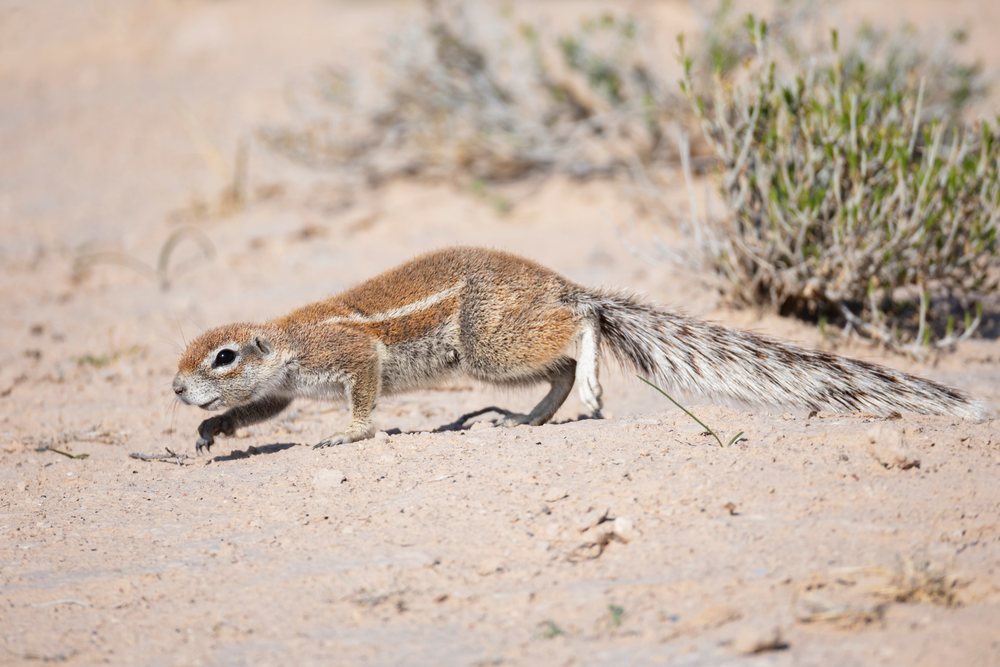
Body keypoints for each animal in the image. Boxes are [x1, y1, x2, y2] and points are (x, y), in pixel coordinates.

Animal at [173, 246, 985, 452]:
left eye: (222, 357)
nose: (177, 390)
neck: (284, 340)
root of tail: (560, 281)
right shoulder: (281, 391)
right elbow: (254, 416)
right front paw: (210, 432)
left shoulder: (347, 356)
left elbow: (363, 390)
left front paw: (348, 433)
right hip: (497, 351)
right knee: (560, 363)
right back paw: (529, 420)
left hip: (487, 344)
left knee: (580, 328)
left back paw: (587, 380)